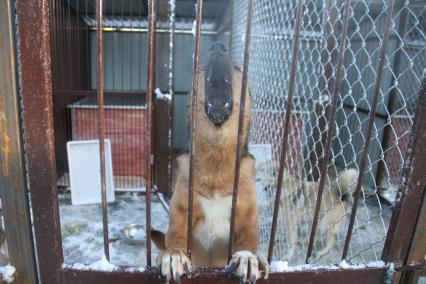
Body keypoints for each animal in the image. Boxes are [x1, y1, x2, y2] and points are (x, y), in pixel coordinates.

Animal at [151, 42, 268, 284]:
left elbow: (246, 241)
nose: (217, 45)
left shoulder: (247, 219)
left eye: (238, 69)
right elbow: (175, 236)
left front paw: (247, 257)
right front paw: (173, 255)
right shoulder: (181, 213)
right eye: (202, 69)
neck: (217, 157)